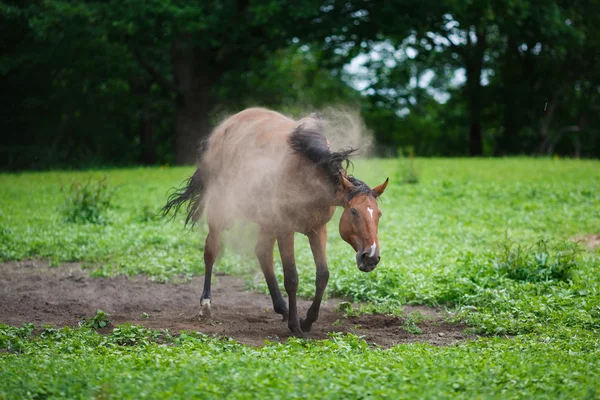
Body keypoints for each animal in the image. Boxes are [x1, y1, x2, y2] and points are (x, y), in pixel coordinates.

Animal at [163, 108, 390, 336]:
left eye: (378, 214)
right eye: (353, 211)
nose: (371, 257)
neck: (308, 175)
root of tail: (220, 132)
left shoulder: (317, 229)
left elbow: (322, 275)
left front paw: (307, 320)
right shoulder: (285, 229)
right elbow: (292, 278)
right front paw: (296, 327)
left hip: (267, 222)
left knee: (262, 253)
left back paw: (282, 308)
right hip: (221, 211)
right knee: (211, 251)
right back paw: (206, 304)